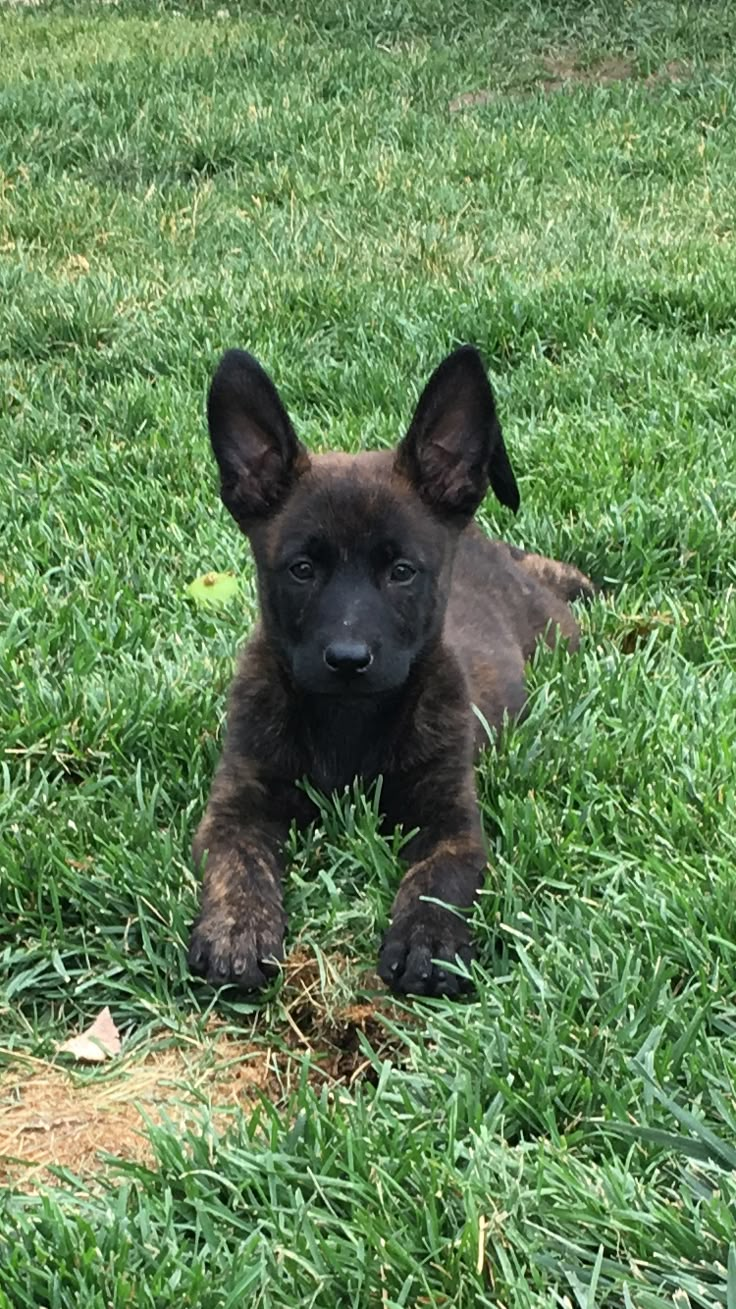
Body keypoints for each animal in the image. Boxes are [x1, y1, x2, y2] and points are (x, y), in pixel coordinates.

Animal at [188, 342, 589, 994]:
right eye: (302, 569)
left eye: (402, 572)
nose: (348, 660)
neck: (348, 721)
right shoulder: (236, 804)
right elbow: (237, 863)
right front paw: (238, 928)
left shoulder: (451, 819)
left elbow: (439, 880)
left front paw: (428, 939)